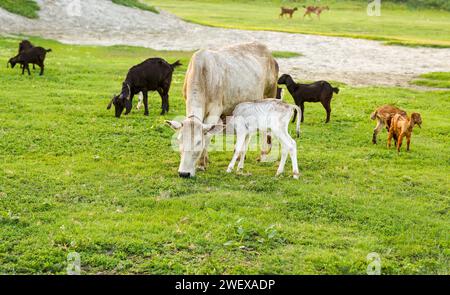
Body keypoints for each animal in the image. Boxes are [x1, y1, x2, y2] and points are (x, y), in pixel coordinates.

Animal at [166, 42, 278, 178]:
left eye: (198, 142)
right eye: (179, 140)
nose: (184, 173)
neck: (202, 73)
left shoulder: (215, 111)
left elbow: (208, 136)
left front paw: (201, 164)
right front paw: (206, 160)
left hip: (269, 95)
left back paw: (263, 155)